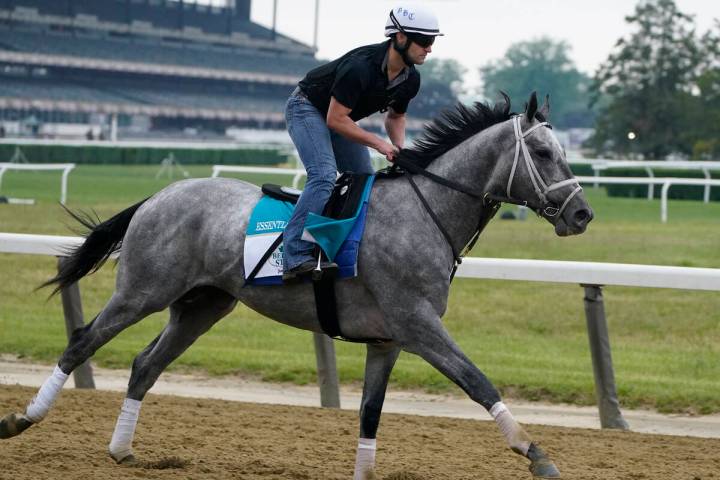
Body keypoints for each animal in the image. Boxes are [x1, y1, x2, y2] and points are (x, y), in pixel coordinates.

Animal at [2, 92, 592, 478]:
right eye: (543, 153)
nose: (582, 214)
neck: (425, 210)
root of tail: (157, 196)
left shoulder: (389, 339)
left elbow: (371, 411)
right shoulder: (417, 323)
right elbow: (477, 381)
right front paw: (535, 453)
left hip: (202, 305)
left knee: (146, 364)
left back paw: (122, 450)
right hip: (142, 291)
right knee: (82, 341)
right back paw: (23, 419)